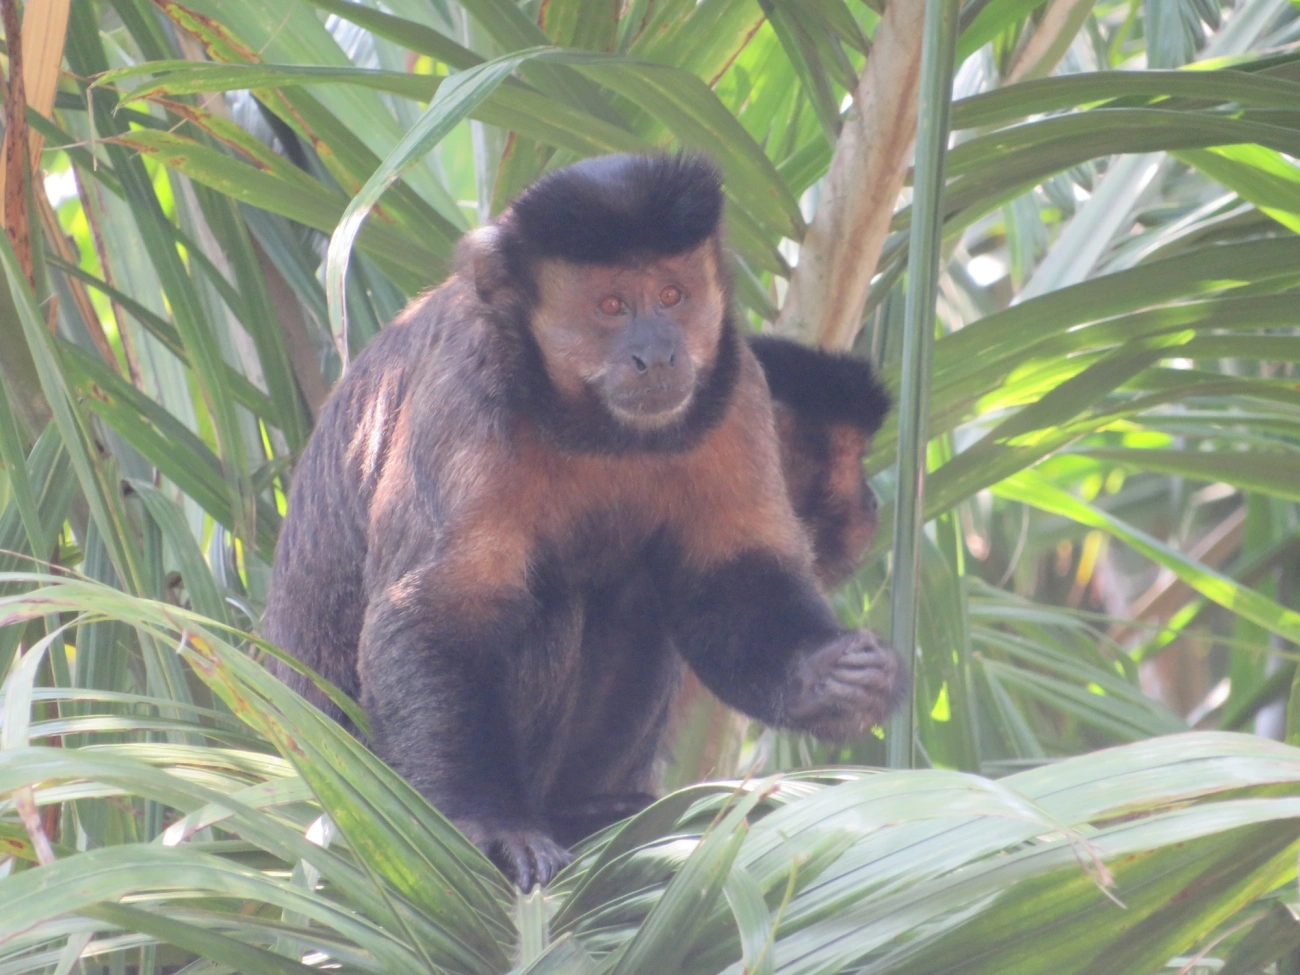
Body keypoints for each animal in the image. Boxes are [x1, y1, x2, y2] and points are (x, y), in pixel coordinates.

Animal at [263, 153, 902, 891]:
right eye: (612, 306)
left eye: (672, 295)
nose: (657, 351)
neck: (594, 430)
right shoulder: (466, 397)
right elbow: (434, 615)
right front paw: (491, 825)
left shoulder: (733, 386)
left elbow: (731, 576)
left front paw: (827, 679)